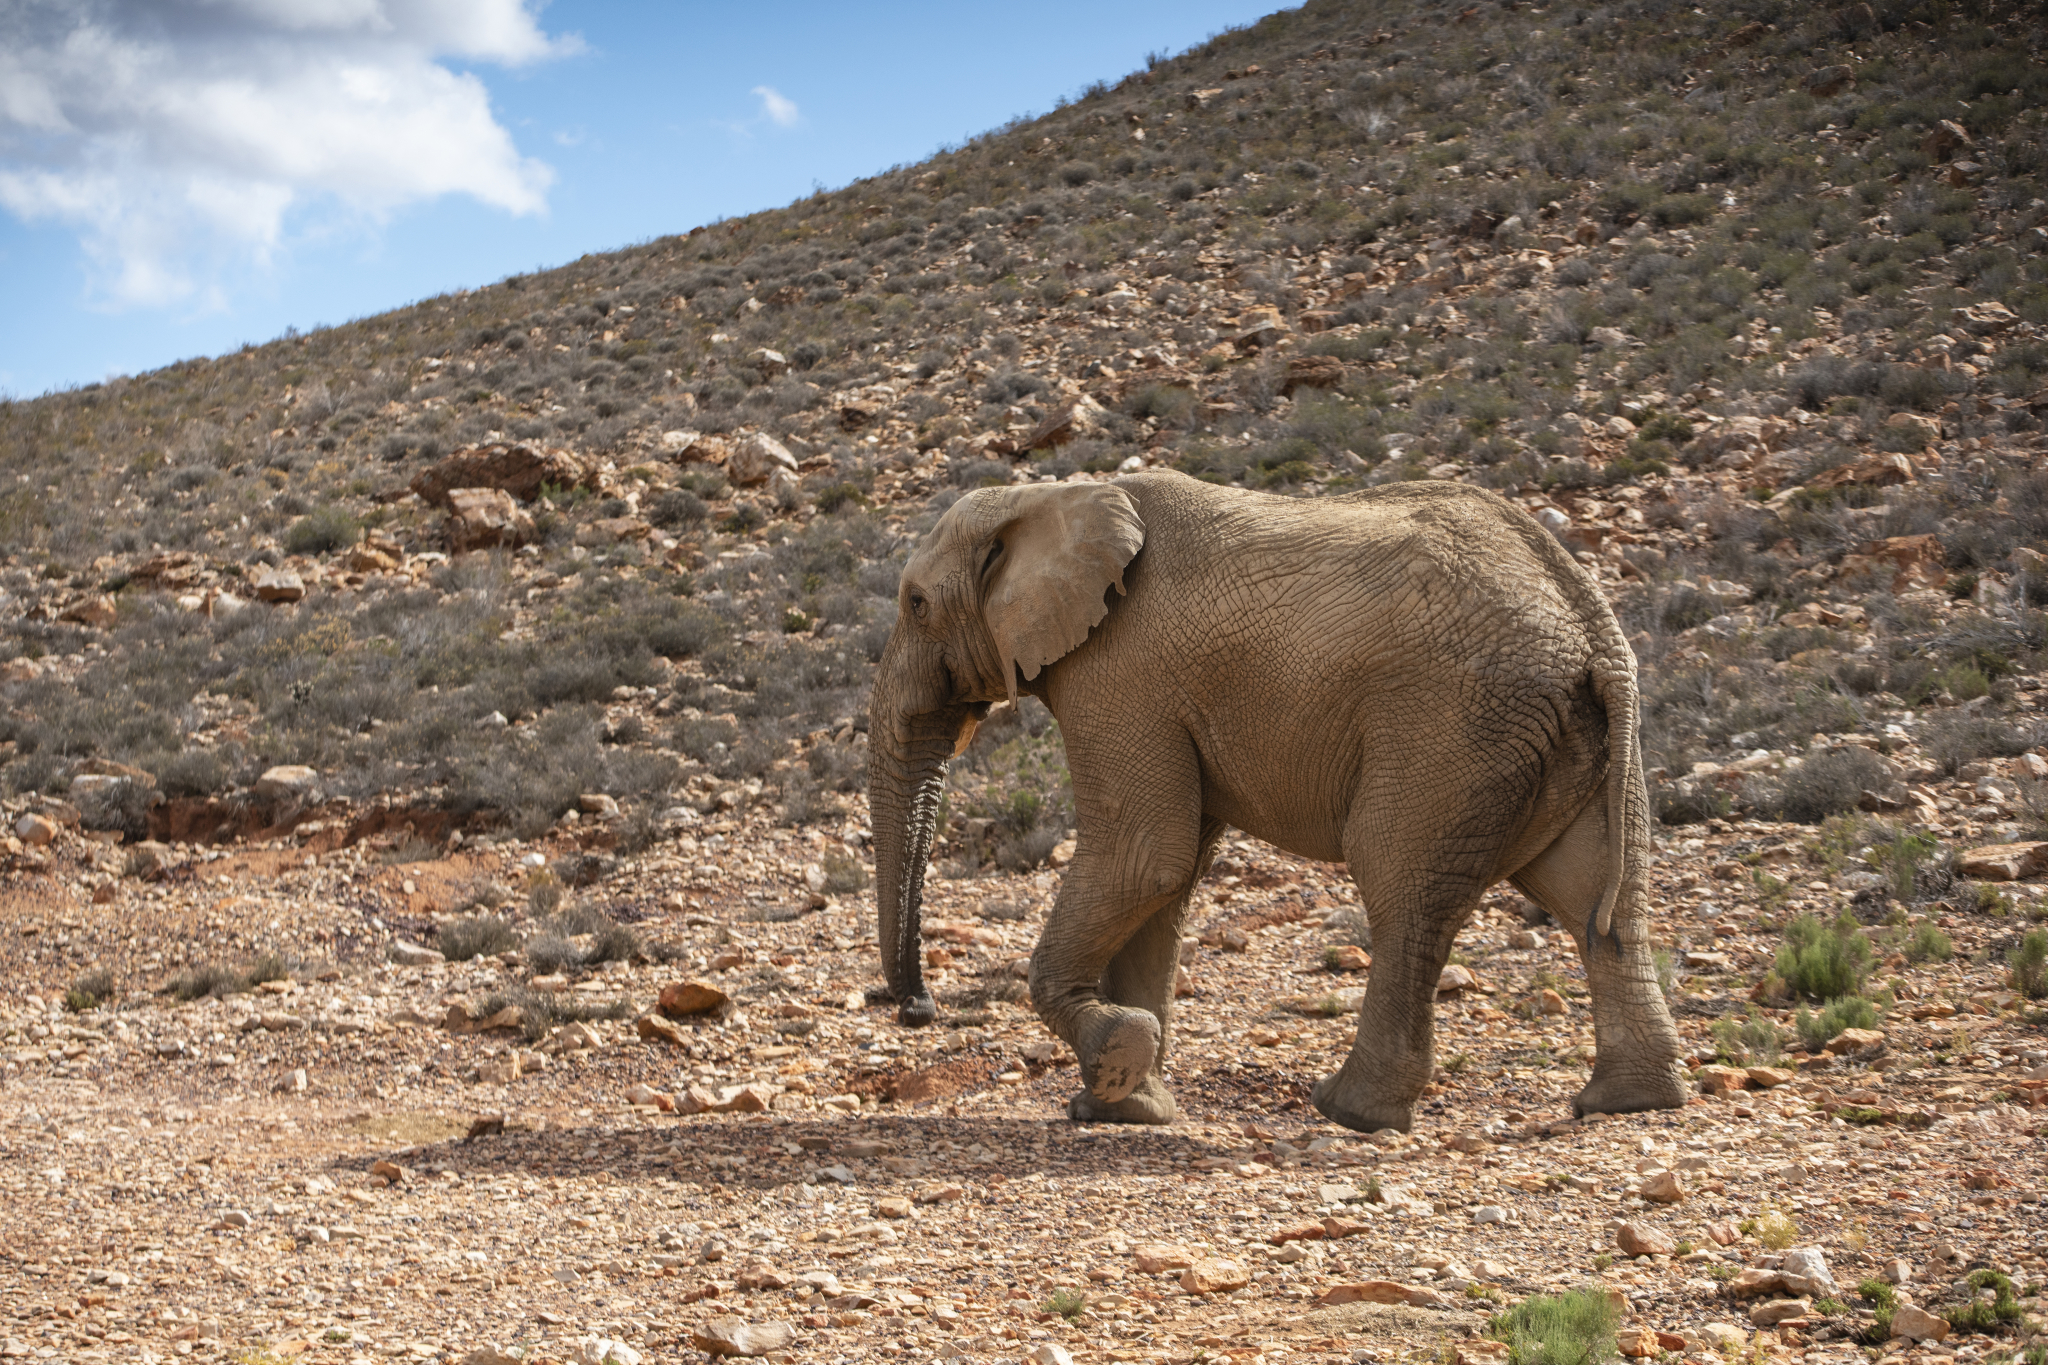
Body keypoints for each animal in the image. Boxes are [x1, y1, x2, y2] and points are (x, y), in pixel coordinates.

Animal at [864, 470, 1679, 1129]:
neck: (1049, 494)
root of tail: (1593, 627)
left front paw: (1120, 1060)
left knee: (1401, 884)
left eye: (917, 603)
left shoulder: (1119, 675)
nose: (915, 1009)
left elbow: (1143, 858)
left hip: (1453, 728)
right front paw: (1124, 1110)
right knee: (1598, 897)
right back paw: (1626, 1101)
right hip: (1572, 739)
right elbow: (1167, 880)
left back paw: (1350, 1111)